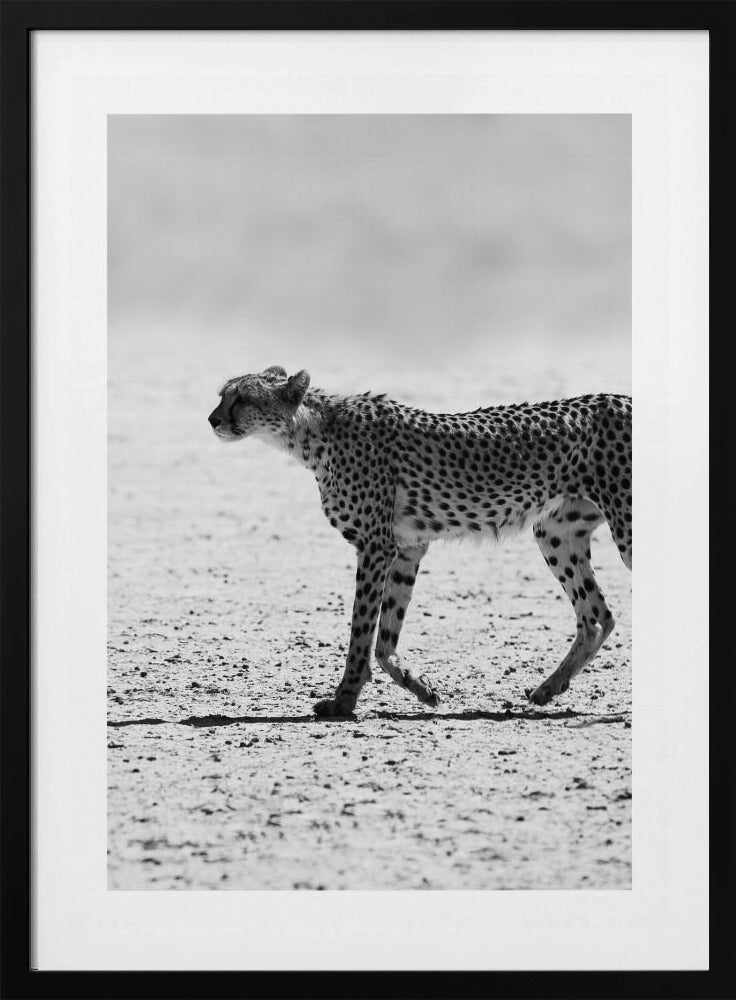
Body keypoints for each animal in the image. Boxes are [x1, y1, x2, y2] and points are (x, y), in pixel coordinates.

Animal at [208, 366, 632, 718]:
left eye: (241, 398)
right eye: (222, 395)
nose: (212, 419)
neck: (312, 432)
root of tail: (622, 397)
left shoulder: (375, 546)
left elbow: (361, 630)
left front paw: (343, 701)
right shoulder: (407, 547)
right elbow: (385, 638)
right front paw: (422, 688)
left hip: (624, 528)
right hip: (555, 533)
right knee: (597, 616)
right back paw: (549, 688)